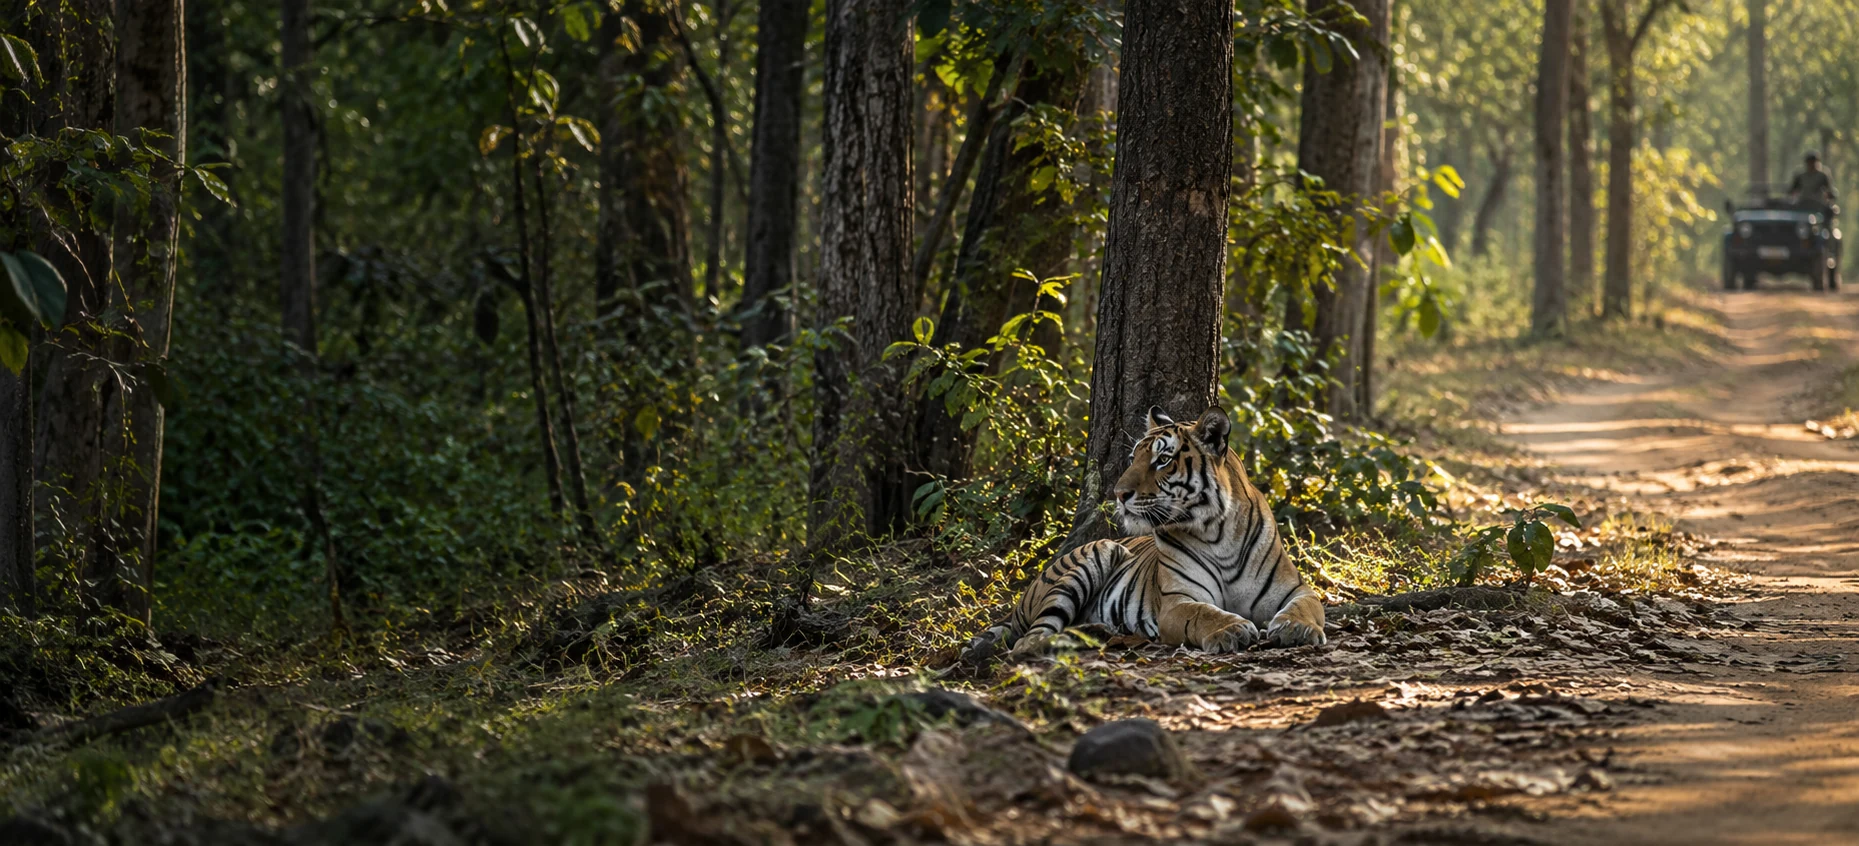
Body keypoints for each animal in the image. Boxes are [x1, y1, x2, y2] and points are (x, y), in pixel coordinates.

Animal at [964, 405, 1327, 662]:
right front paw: (1232, 628)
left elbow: (1307, 606)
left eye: (1163, 460)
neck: (1218, 532)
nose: (1118, 493)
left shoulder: (1294, 589)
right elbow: (1204, 613)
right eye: (1132, 457)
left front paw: (1296, 629)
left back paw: (1096, 633)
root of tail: (1021, 602)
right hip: (1092, 557)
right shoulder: (1177, 602)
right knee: (1029, 639)